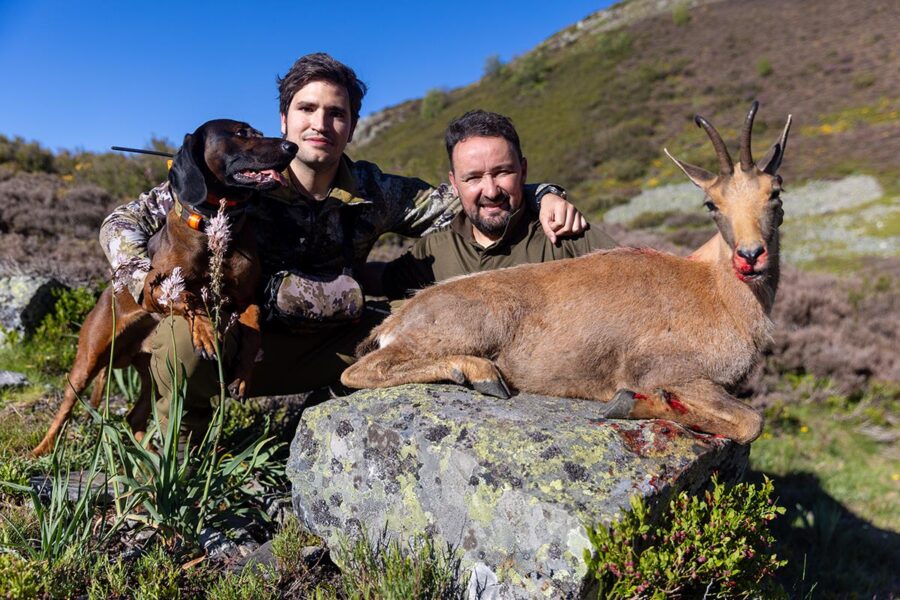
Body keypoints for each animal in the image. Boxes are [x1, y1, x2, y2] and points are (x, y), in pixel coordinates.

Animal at [32, 118, 296, 454]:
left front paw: (242, 374)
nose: (292, 147)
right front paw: (206, 332)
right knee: (66, 408)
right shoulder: (165, 282)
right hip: (89, 359)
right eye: (241, 133)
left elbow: (254, 326)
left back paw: (147, 450)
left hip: (151, 375)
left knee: (135, 415)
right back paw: (43, 449)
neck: (211, 225)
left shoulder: (247, 298)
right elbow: (190, 296)